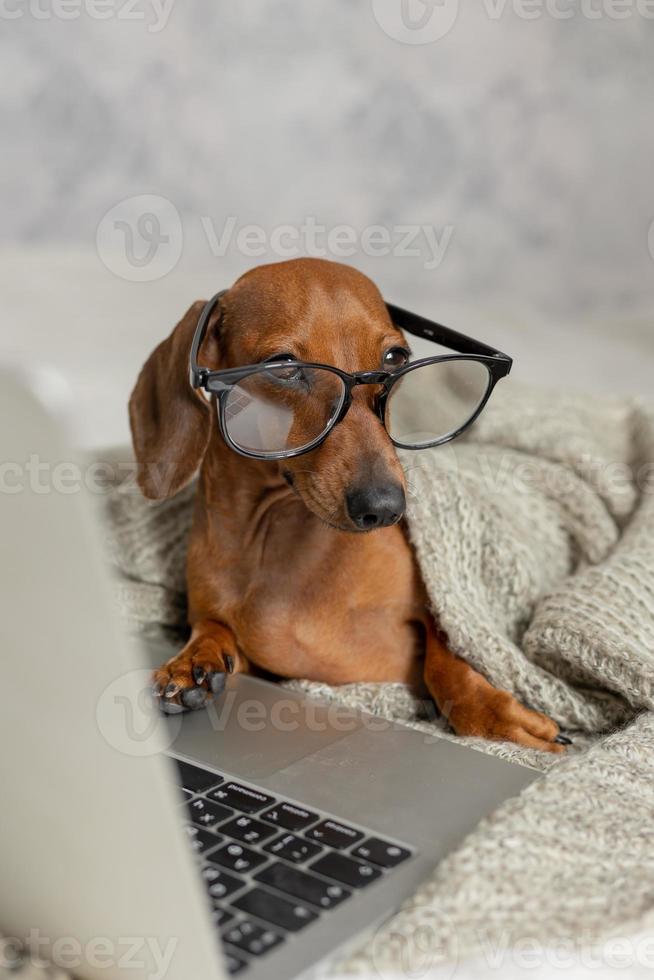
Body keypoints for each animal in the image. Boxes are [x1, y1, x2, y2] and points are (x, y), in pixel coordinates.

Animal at [129, 256, 568, 756]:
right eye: (284, 366)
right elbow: (212, 628)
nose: (386, 506)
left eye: (395, 358)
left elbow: (448, 653)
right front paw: (192, 663)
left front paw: (499, 717)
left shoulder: (441, 610)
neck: (273, 539)